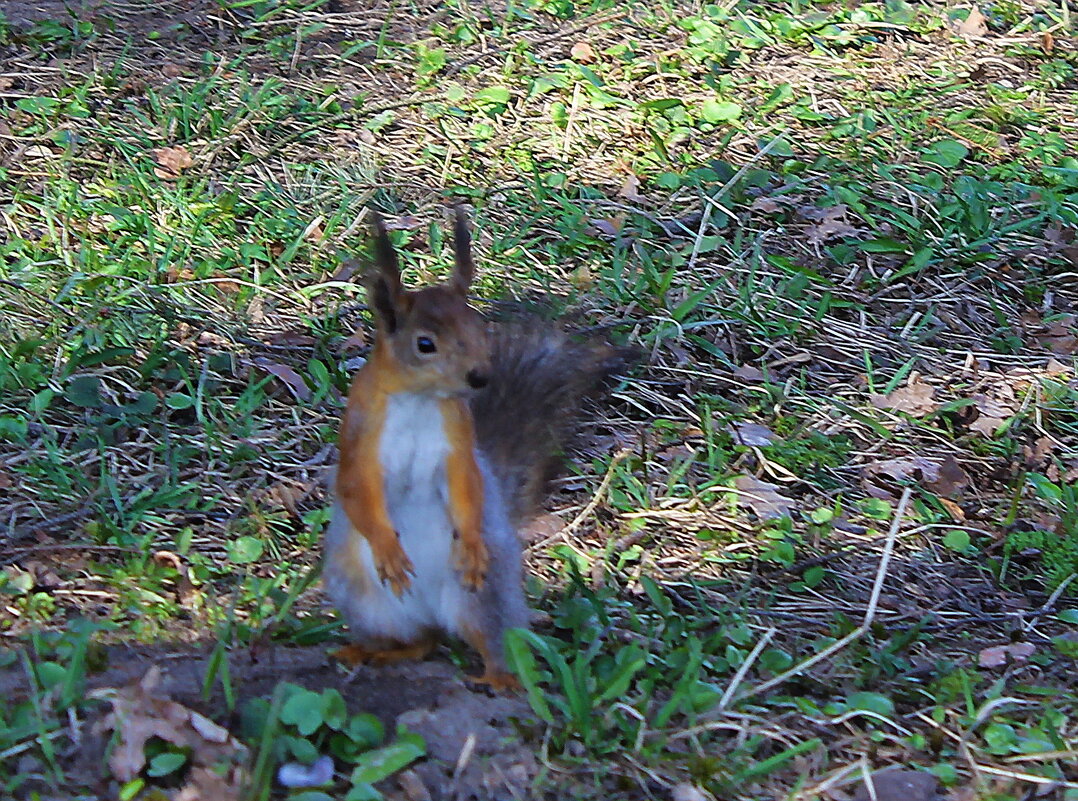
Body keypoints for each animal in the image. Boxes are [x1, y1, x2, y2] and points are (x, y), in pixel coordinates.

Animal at [321, 204, 625, 689]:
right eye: (425, 344)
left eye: (480, 327)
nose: (480, 376)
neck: (421, 399)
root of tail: (431, 612)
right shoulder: (359, 440)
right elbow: (356, 491)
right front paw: (388, 550)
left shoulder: (457, 444)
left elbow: (466, 484)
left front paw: (470, 545)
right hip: (368, 602)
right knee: (419, 642)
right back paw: (369, 651)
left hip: (484, 597)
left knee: (490, 638)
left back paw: (500, 677)